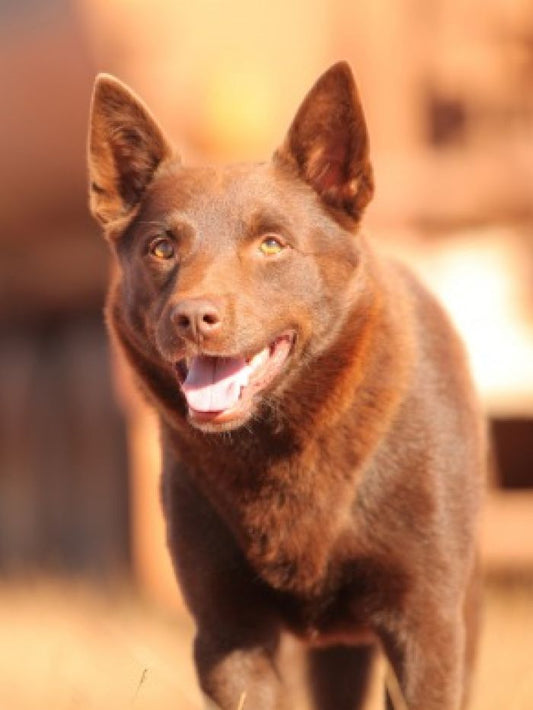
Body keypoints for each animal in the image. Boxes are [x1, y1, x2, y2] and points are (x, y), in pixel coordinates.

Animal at [87, 64, 486, 708]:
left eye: (272, 244)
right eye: (161, 248)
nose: (192, 317)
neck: (280, 445)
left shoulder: (426, 625)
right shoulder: (229, 635)